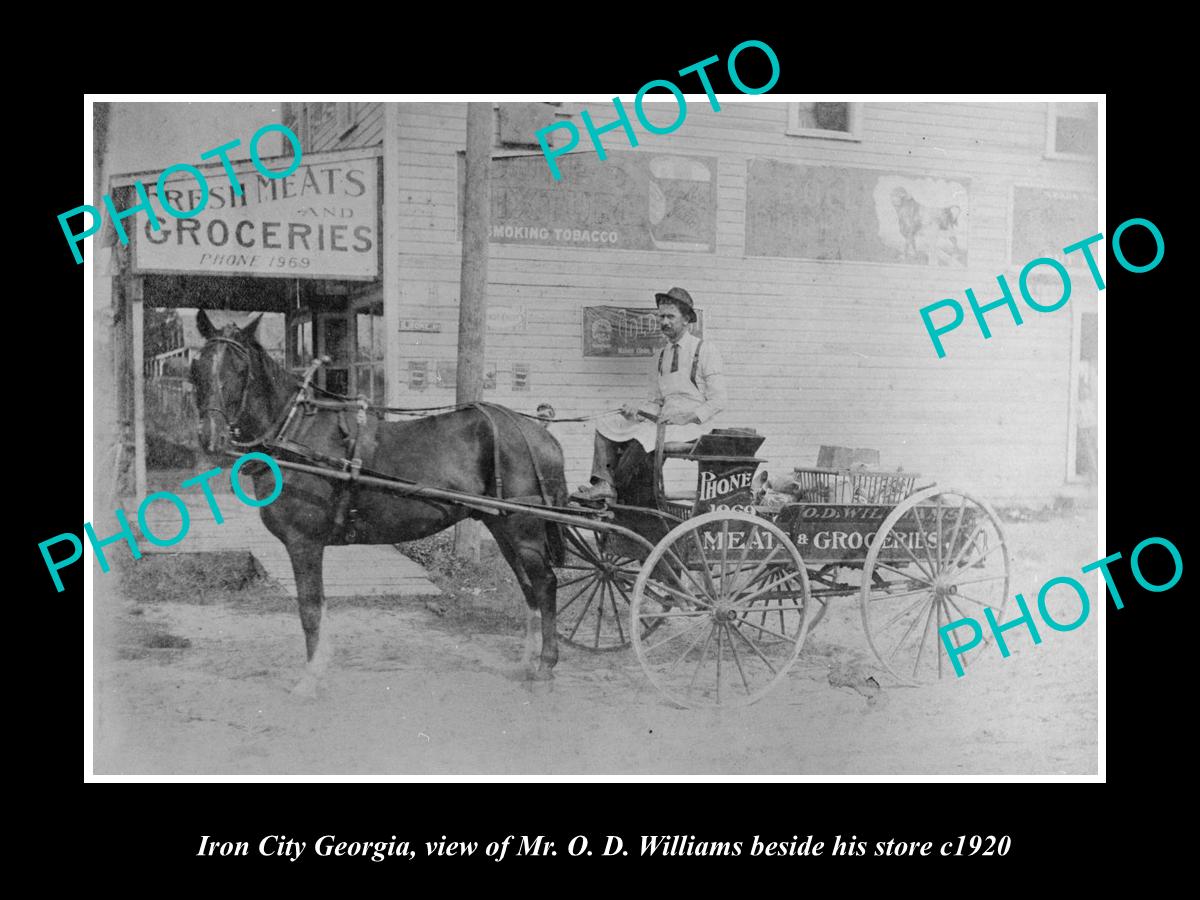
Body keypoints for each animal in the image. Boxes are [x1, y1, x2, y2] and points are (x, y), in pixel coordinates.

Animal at [190, 309, 571, 696]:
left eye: (240, 369)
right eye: (198, 366)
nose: (210, 437)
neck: (294, 435)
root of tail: (541, 434)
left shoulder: (304, 542)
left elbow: (310, 608)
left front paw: (309, 679)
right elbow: (319, 606)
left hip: (523, 529)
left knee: (545, 584)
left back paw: (545, 666)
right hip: (502, 525)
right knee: (528, 587)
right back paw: (526, 663)